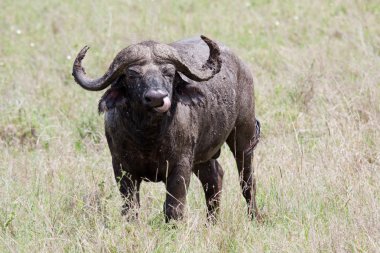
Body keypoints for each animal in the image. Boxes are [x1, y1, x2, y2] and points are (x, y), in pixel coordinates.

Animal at [72, 35, 260, 221]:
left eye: (169, 73)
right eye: (132, 74)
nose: (156, 97)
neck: (147, 136)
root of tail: (242, 67)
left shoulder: (180, 166)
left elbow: (173, 208)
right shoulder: (121, 167)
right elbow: (130, 208)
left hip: (244, 136)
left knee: (247, 181)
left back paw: (255, 218)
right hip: (203, 156)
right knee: (214, 178)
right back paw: (211, 222)